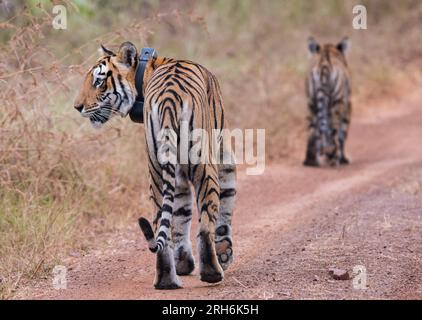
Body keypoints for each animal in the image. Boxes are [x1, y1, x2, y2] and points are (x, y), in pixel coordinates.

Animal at [74, 41, 236, 288]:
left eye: (98, 82)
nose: (77, 107)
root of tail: (169, 100)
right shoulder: (223, 152)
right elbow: (225, 206)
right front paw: (224, 254)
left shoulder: (176, 174)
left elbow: (179, 216)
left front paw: (184, 264)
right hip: (204, 166)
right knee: (206, 223)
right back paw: (212, 272)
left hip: (157, 171)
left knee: (163, 228)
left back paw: (166, 280)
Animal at [304, 37, 352, 168]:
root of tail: (324, 64)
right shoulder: (347, 106)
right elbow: (343, 133)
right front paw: (343, 159)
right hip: (337, 104)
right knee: (334, 131)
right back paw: (333, 157)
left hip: (311, 104)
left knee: (313, 131)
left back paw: (311, 161)